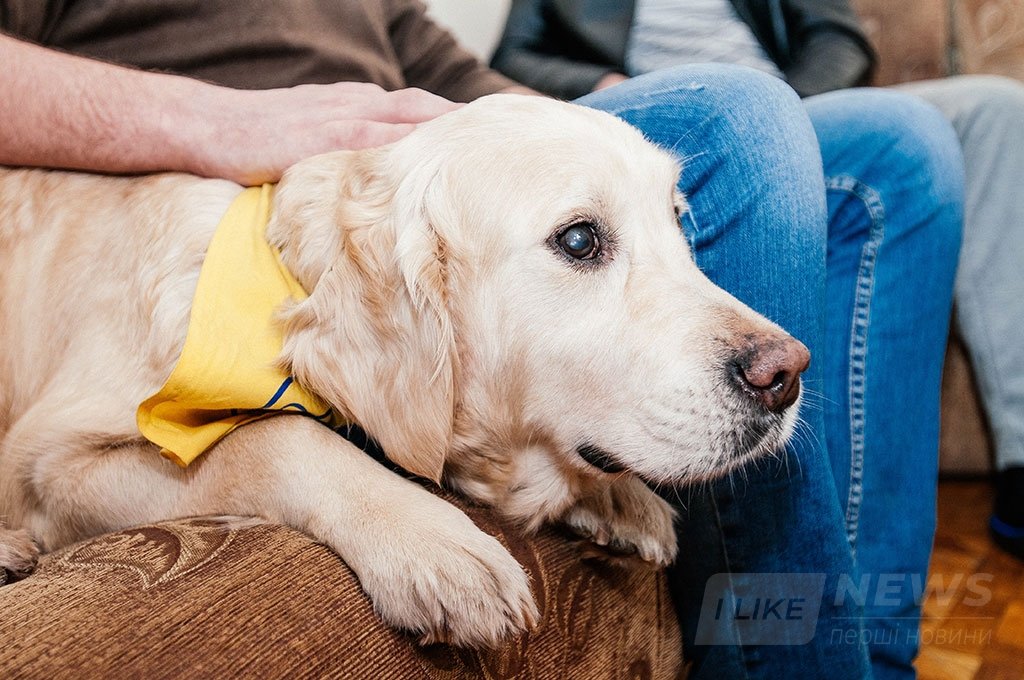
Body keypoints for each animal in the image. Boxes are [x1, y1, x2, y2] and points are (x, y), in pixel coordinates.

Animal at [0, 94, 808, 646]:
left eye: (677, 221)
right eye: (580, 240)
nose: (788, 373)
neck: (278, 278)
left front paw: (616, 497)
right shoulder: (51, 466)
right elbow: (270, 438)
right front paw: (432, 541)